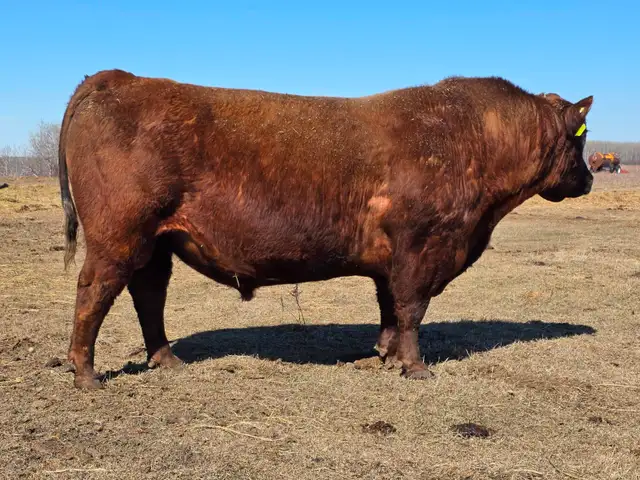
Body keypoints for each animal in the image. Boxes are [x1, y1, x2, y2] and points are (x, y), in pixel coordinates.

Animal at [58, 70, 593, 389]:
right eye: (579, 141)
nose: (588, 179)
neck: (474, 139)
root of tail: (119, 78)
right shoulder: (421, 249)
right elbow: (412, 310)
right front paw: (415, 368)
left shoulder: (389, 261)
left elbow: (389, 310)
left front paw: (382, 356)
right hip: (118, 236)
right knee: (94, 292)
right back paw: (86, 375)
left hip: (156, 244)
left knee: (148, 296)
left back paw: (166, 360)